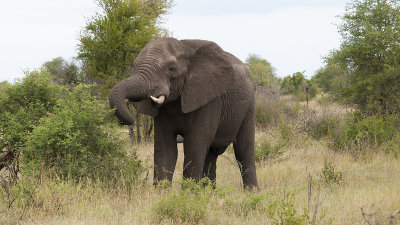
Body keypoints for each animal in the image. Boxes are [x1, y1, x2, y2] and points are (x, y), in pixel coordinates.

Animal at [109, 38, 258, 190]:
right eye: (134, 65)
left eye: (171, 69)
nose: (129, 120)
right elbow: (165, 148)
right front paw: (161, 193)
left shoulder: (209, 99)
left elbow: (194, 146)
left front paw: (188, 194)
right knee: (211, 154)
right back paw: (208, 192)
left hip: (249, 105)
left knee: (243, 150)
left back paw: (251, 192)